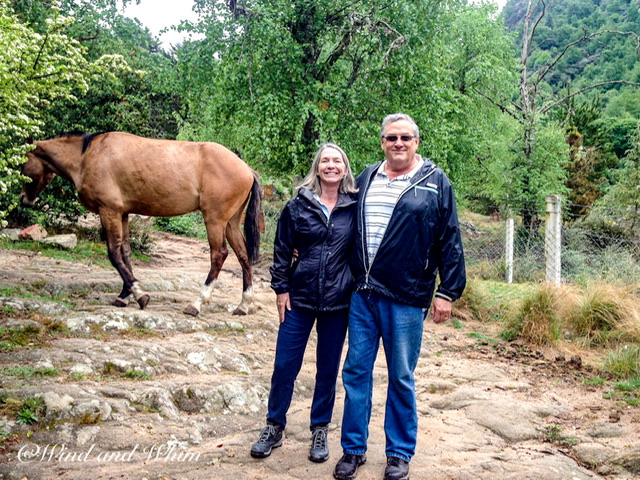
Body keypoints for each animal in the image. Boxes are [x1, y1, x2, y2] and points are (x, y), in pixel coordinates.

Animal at [19, 133, 262, 316]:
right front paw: (125, 295)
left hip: (215, 220)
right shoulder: (123, 214)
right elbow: (125, 253)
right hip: (230, 223)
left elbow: (114, 254)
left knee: (219, 255)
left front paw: (139, 294)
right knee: (243, 256)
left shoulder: (109, 211)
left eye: (23, 164)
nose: (23, 200)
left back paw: (197, 303)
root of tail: (247, 169)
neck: (88, 156)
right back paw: (243, 305)